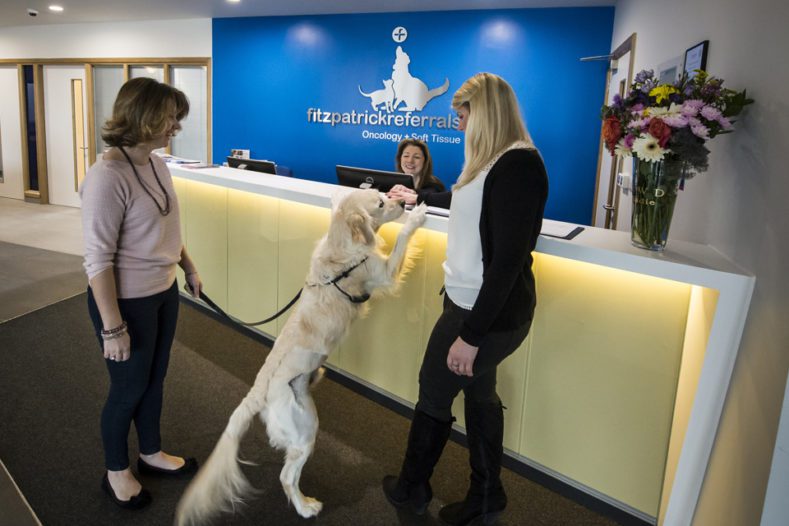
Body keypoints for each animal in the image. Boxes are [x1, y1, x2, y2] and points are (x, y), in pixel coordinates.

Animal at [175, 191, 428, 526]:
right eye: (381, 204)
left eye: (385, 196)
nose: (402, 203)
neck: (341, 244)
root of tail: (258, 391)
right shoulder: (382, 272)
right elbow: (401, 242)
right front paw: (416, 218)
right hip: (306, 428)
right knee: (287, 477)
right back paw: (306, 507)